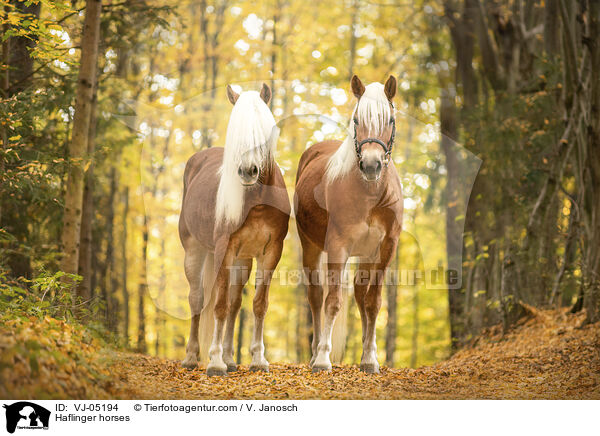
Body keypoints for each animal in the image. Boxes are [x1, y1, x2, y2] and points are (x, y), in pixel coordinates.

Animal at [178, 83, 290, 376]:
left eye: (261, 131)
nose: (248, 171)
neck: (258, 199)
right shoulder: (223, 251)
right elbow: (218, 306)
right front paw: (215, 362)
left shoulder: (270, 253)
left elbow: (258, 305)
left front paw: (258, 360)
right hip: (195, 252)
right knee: (197, 299)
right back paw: (192, 357)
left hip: (242, 261)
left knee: (235, 303)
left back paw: (230, 359)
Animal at [294, 76, 404, 374]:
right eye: (357, 119)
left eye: (390, 119)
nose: (371, 165)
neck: (370, 193)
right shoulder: (338, 246)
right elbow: (332, 302)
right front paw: (323, 359)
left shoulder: (385, 248)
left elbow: (373, 302)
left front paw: (370, 359)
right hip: (310, 246)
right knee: (316, 295)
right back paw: (314, 354)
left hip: (366, 254)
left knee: (359, 293)